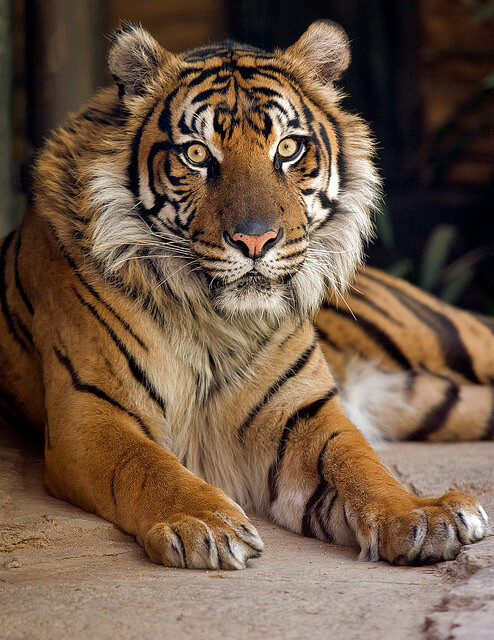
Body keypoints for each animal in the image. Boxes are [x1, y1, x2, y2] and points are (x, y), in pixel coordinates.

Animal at [0, 21, 490, 568]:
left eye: (289, 148)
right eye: (196, 154)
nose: (255, 241)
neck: (219, 324)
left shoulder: (302, 412)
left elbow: (359, 463)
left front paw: (419, 514)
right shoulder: (91, 411)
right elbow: (144, 464)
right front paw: (204, 523)